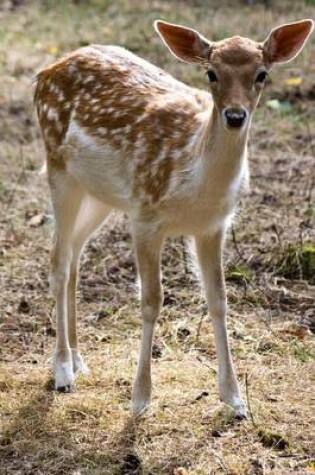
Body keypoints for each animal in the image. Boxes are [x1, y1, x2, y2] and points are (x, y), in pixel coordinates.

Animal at [33, 19, 314, 420]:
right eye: (211, 73)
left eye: (262, 74)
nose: (234, 116)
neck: (194, 181)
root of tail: (45, 72)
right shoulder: (145, 215)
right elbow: (152, 300)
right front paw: (140, 399)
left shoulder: (213, 225)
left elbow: (219, 298)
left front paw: (235, 399)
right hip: (58, 167)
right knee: (58, 260)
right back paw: (62, 372)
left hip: (101, 194)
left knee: (74, 256)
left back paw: (79, 361)